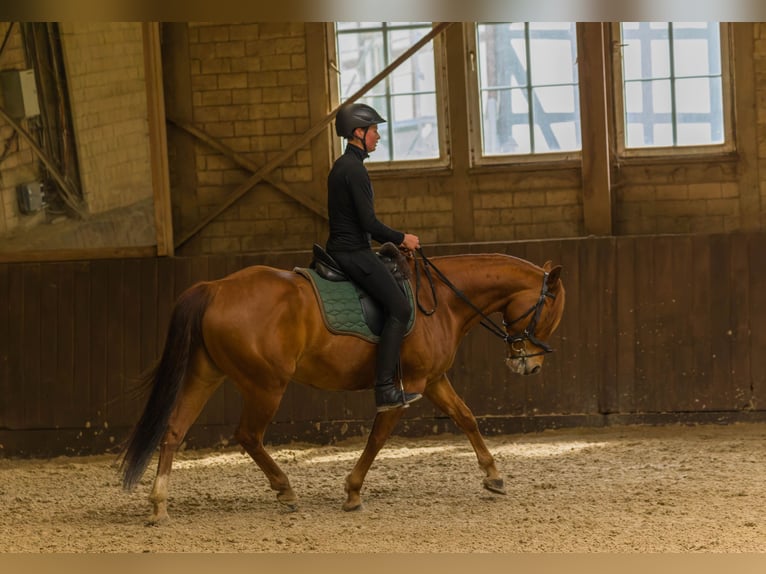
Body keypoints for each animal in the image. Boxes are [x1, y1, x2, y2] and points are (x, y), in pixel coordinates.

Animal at [118, 250, 564, 524]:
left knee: (174, 430)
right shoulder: (407, 386)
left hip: (206, 375)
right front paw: (352, 492)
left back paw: (159, 504)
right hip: (266, 385)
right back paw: (285, 490)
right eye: (551, 313)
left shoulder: (434, 380)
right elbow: (377, 439)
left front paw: (494, 475)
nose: (529, 365)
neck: (440, 302)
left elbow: (466, 418)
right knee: (248, 435)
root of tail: (215, 288)